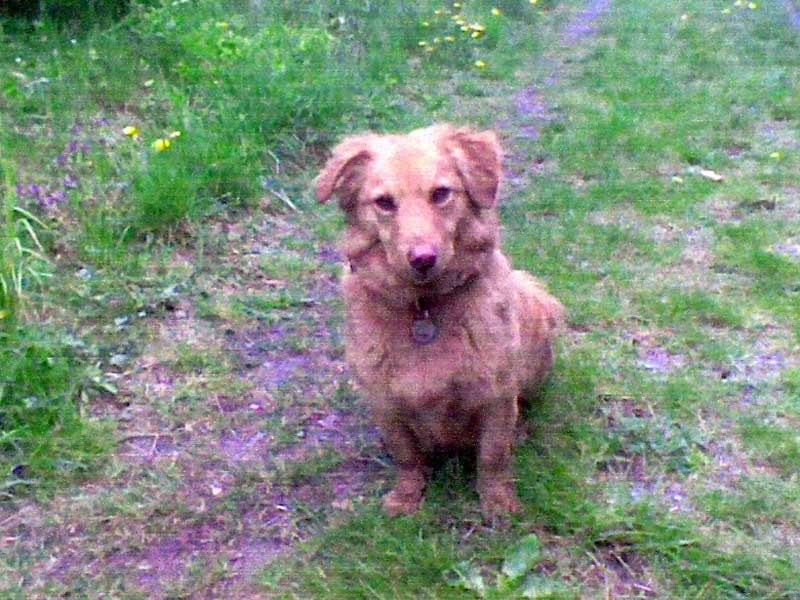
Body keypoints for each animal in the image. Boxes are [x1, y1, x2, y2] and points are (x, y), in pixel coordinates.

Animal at [316, 124, 564, 518]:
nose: (423, 258)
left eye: (441, 193)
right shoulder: (386, 403)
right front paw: (406, 497)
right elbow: (406, 457)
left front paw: (497, 502)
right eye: (384, 202)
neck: (424, 307)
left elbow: (492, 457)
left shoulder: (496, 398)